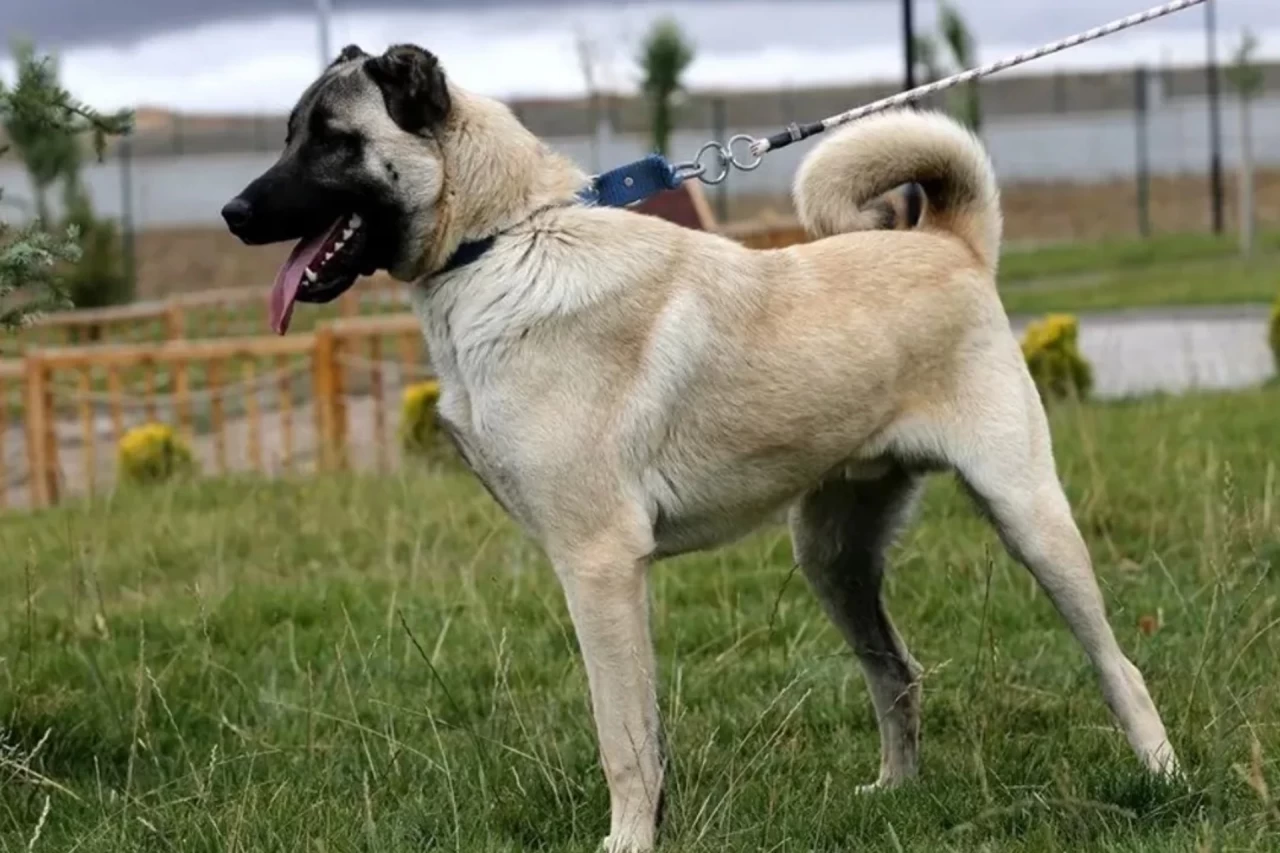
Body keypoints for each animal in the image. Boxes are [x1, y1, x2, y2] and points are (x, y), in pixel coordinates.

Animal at [225, 44, 1182, 850]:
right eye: (292, 133)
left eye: (332, 139)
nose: (232, 213)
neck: (504, 241)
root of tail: (951, 245)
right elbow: (647, 733)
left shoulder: (600, 567)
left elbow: (622, 737)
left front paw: (627, 841)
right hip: (832, 558)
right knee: (898, 673)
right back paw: (896, 793)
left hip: (1029, 519)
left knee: (1117, 663)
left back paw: (1162, 776)